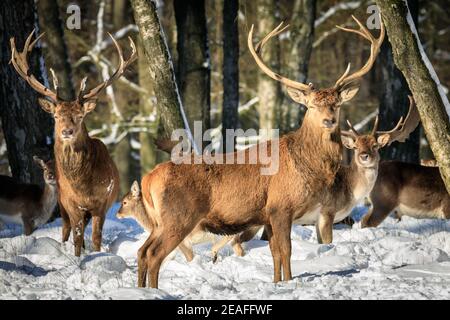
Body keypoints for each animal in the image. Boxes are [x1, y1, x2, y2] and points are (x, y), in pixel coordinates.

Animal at [9, 29, 135, 255]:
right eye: (56, 116)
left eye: (80, 116)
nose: (67, 131)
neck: (82, 186)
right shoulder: (70, 202)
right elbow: (76, 237)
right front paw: (78, 258)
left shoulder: (102, 203)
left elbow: (96, 237)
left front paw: (95, 255)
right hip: (61, 202)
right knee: (66, 230)